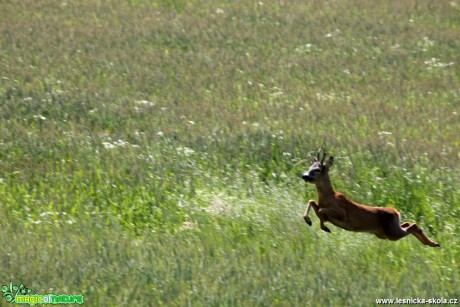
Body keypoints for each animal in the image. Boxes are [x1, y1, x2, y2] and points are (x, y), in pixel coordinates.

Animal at [302, 149, 438, 248]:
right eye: (309, 167)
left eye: (317, 170)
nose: (304, 175)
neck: (328, 196)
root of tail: (396, 211)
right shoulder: (322, 208)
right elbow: (312, 202)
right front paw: (309, 220)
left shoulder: (342, 213)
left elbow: (321, 210)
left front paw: (324, 227)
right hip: (385, 233)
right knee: (408, 224)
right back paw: (432, 244)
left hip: (391, 232)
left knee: (413, 226)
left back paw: (433, 243)